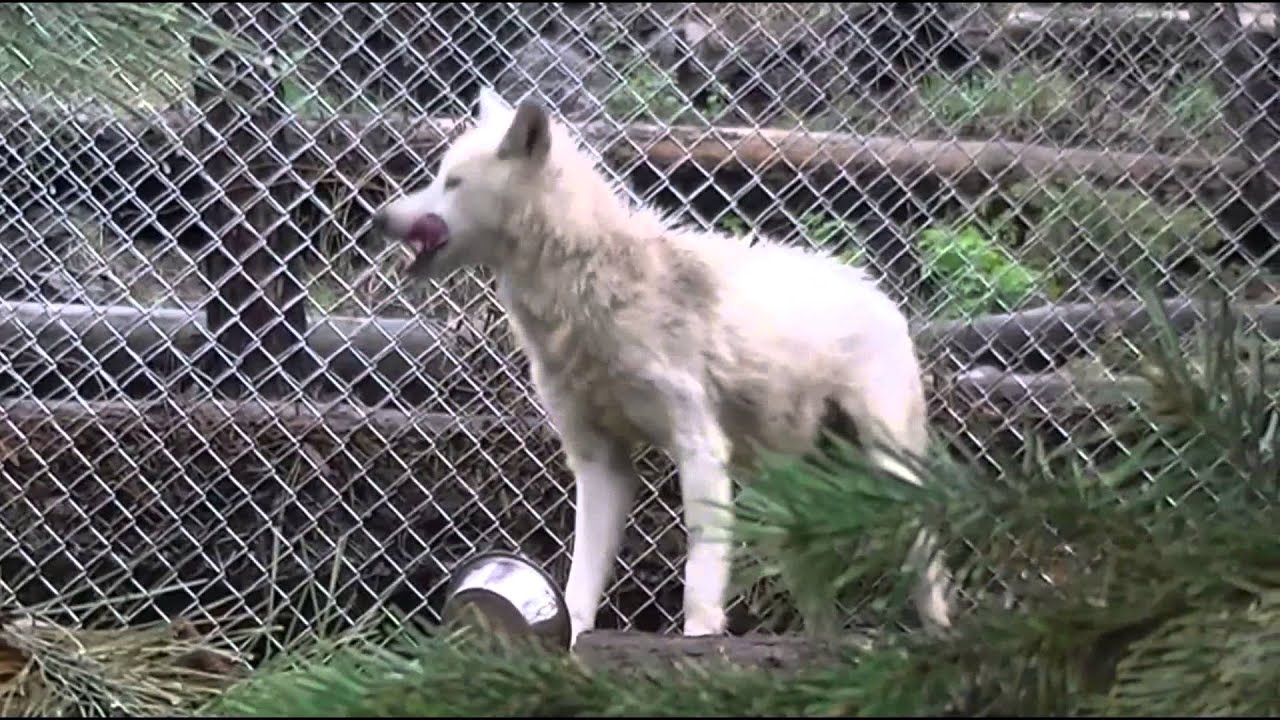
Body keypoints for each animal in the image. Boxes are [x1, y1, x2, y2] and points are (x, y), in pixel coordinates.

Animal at [373, 87, 954, 646]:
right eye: (437, 175)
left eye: (452, 182)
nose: (379, 216)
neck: (587, 299)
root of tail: (883, 295)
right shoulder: (599, 463)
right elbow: (579, 582)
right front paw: (568, 638)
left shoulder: (699, 447)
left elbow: (700, 572)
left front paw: (698, 640)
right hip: (793, 506)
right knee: (821, 608)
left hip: (891, 472)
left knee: (929, 570)